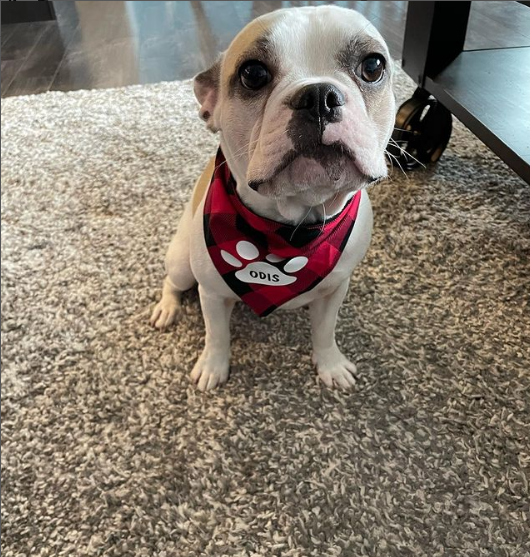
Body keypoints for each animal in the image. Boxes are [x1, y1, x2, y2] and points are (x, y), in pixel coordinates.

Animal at [151, 4, 394, 388]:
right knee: (172, 282)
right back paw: (167, 307)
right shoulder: (212, 294)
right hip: (181, 263)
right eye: (253, 74)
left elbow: (325, 331)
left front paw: (330, 364)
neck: (291, 227)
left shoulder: (335, 288)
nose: (319, 96)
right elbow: (217, 335)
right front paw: (213, 366)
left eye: (373, 66)